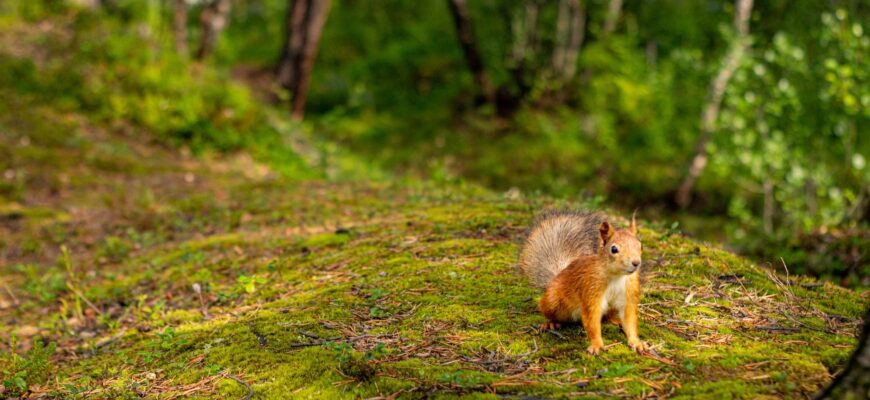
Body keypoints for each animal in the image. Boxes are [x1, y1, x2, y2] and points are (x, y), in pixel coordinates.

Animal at [518, 210, 648, 355]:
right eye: (614, 249)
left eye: (640, 246)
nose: (636, 263)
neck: (617, 276)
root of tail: (557, 275)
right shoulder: (591, 289)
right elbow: (592, 320)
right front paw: (597, 344)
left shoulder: (629, 293)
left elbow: (629, 319)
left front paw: (636, 342)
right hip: (553, 301)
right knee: (549, 312)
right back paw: (550, 323)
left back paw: (615, 320)